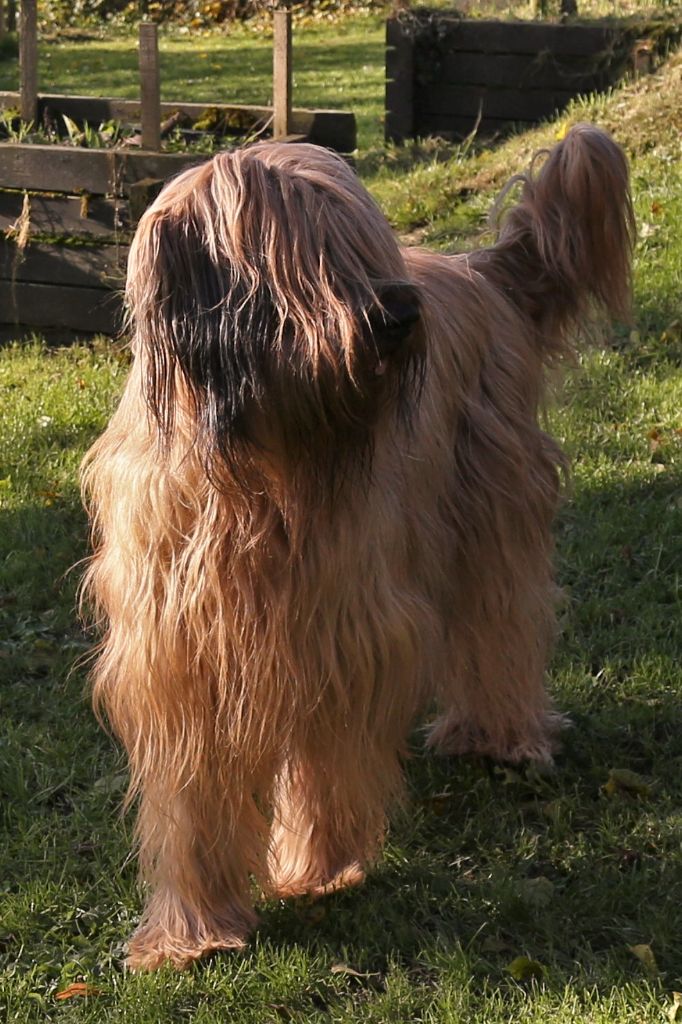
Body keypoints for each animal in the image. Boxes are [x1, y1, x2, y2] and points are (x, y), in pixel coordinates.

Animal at [79, 125, 630, 966]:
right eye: (310, 255)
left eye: (364, 243)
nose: (400, 310)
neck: (256, 469)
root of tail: (478, 270)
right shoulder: (177, 651)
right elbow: (192, 794)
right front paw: (191, 931)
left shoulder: (342, 625)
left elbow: (329, 757)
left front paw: (319, 867)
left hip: (490, 505)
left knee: (502, 619)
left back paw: (500, 736)